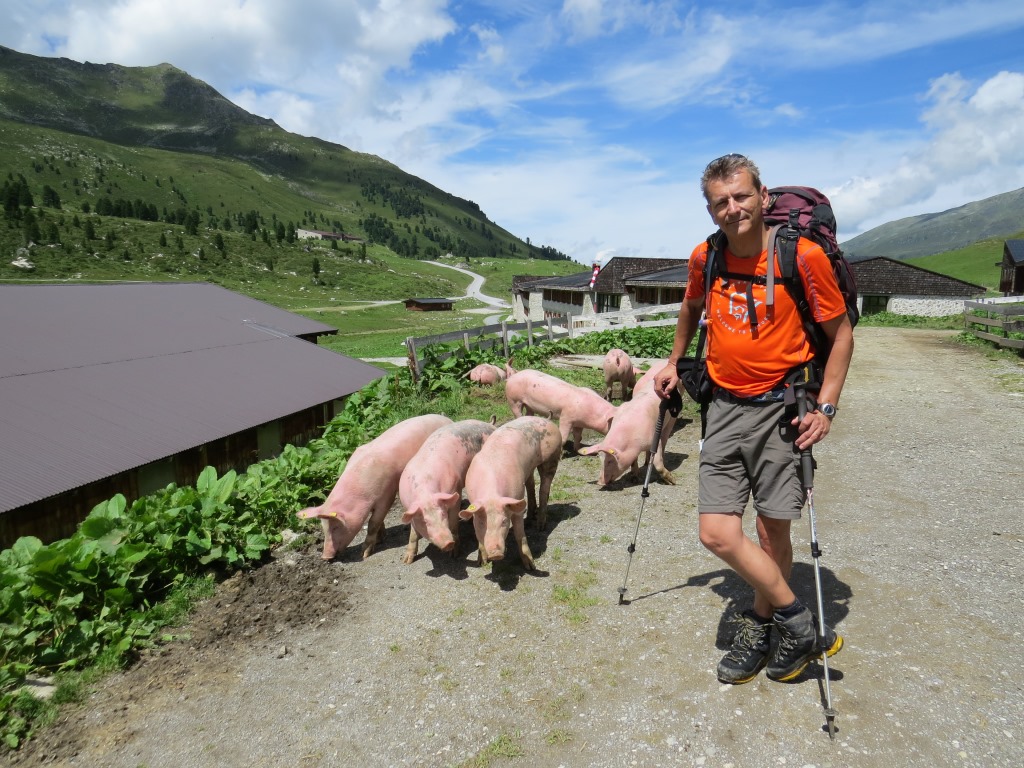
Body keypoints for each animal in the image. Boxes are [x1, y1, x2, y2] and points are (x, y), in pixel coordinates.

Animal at [299, 415, 454, 561]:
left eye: (336, 526)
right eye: (324, 528)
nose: (325, 557)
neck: (361, 494)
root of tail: (446, 419)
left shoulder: (386, 495)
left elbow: (373, 522)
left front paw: (364, 554)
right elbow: (378, 521)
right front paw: (380, 539)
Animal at [397, 421, 497, 565]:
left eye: (443, 514)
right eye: (425, 521)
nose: (448, 543)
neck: (425, 493)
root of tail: (490, 425)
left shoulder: (456, 491)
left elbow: (454, 523)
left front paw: (454, 555)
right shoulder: (408, 506)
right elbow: (413, 533)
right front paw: (406, 561)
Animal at [462, 415, 565, 573]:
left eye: (504, 521)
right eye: (481, 523)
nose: (495, 553)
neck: (491, 495)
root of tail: (547, 419)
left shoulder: (516, 501)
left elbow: (519, 535)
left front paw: (531, 567)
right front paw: (481, 562)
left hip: (551, 456)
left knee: (544, 488)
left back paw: (540, 526)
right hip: (528, 468)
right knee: (531, 486)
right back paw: (529, 519)